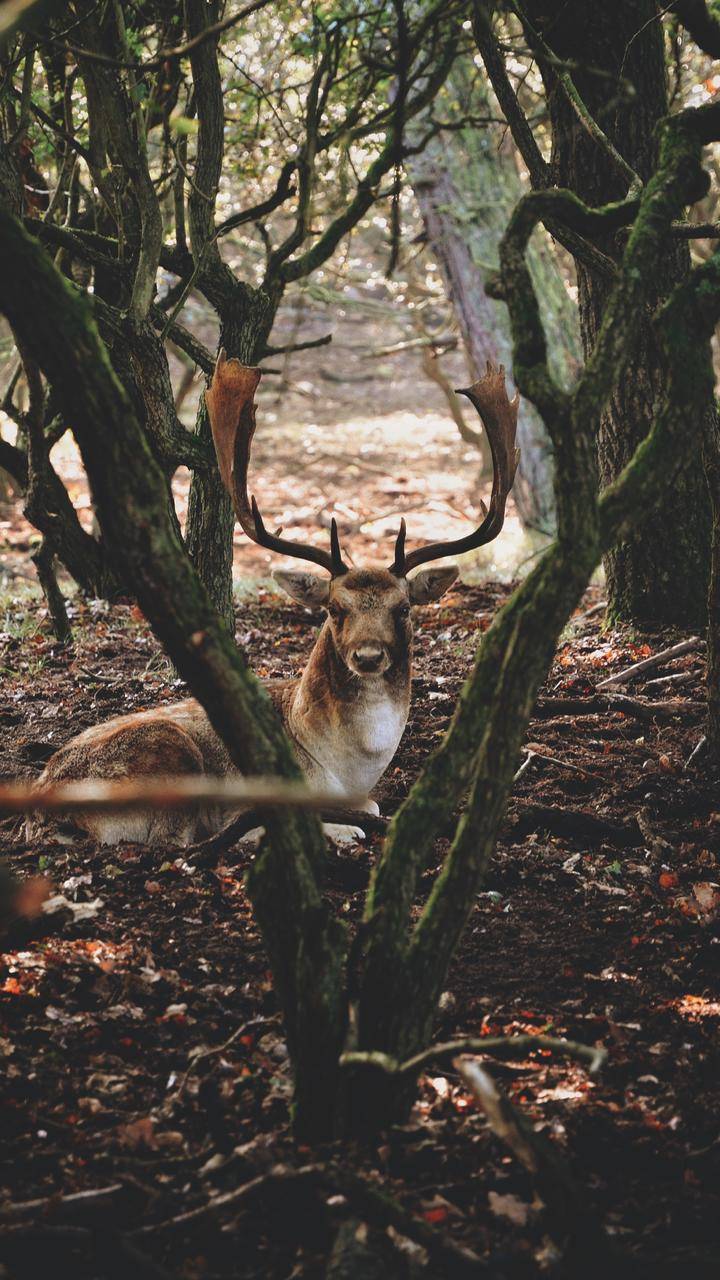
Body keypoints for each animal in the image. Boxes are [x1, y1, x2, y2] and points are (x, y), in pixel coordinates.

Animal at [30, 353, 515, 849]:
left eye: (403, 609)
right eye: (334, 609)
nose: (368, 656)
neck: (344, 772)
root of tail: (44, 807)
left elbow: (374, 805)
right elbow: (345, 820)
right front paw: (334, 827)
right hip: (167, 754)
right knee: (180, 839)